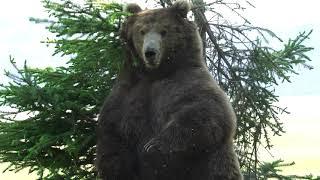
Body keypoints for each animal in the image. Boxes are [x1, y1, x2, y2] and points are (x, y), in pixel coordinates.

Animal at [96, 0, 241, 179]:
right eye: (141, 31)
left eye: (164, 31)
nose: (150, 52)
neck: (155, 73)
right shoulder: (128, 90)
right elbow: (112, 130)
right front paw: (116, 166)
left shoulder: (186, 81)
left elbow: (207, 113)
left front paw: (152, 147)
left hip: (210, 165)